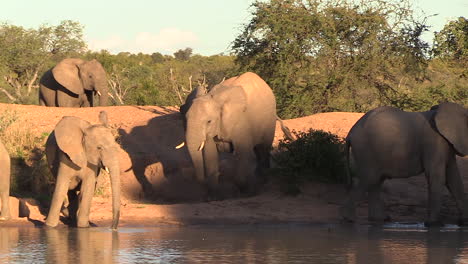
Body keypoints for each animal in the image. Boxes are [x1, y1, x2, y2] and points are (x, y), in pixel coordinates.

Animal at [340, 102, 468, 226]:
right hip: (366, 150)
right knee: (369, 179)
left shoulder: (448, 143)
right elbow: (437, 176)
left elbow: (453, 178)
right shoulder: (434, 142)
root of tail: (350, 133)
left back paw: (379, 219)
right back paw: (349, 219)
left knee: (375, 181)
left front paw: (463, 222)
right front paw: (434, 224)